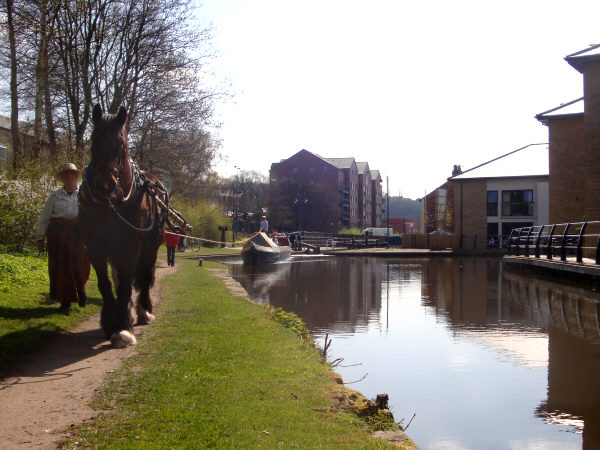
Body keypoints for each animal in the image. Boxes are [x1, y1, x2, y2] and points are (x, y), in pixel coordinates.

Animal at [78, 104, 166, 348]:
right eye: (94, 140)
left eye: (121, 145)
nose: (104, 185)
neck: (112, 204)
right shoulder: (95, 247)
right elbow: (105, 284)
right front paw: (111, 322)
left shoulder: (130, 247)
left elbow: (127, 284)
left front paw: (123, 329)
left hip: (150, 247)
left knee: (144, 275)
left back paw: (143, 310)